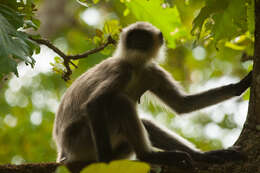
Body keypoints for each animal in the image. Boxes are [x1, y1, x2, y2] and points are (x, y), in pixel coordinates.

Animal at [52, 22, 250, 172]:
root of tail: (63, 153)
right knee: (120, 101)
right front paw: (106, 162)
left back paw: (200, 156)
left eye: (143, 38)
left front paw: (241, 85)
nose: (137, 43)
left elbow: (182, 105)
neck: (136, 66)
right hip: (81, 141)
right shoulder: (121, 70)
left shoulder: (153, 71)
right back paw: (147, 155)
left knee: (143, 122)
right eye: (133, 38)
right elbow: (94, 104)